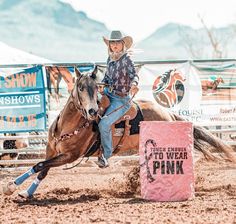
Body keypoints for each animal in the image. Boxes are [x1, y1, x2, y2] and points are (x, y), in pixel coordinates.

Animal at [2, 66, 235, 198]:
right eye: (80, 88)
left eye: (96, 88)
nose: (92, 111)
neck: (67, 126)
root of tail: (168, 113)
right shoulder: (51, 150)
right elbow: (42, 169)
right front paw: (24, 192)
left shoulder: (70, 156)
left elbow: (39, 165)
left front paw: (11, 186)